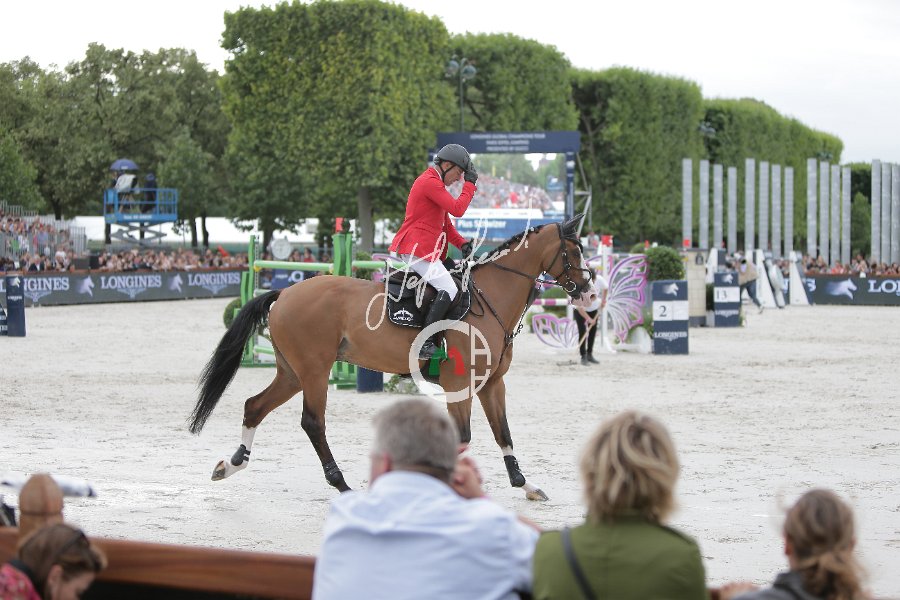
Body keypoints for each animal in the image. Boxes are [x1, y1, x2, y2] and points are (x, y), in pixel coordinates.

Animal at [188, 215, 597, 500]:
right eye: (574, 252)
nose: (591, 295)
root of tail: (285, 292)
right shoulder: (459, 386)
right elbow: (462, 437)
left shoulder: (492, 384)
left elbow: (504, 434)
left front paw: (525, 485)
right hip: (315, 372)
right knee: (312, 423)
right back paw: (341, 484)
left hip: (291, 373)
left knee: (255, 406)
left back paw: (230, 464)